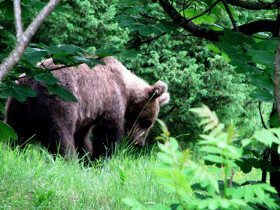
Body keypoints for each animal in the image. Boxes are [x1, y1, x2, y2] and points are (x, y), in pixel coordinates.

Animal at [4, 55, 171, 159]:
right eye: (147, 122)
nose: (139, 143)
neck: (127, 88)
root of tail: (33, 83)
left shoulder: (88, 111)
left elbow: (82, 136)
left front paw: (87, 156)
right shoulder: (110, 99)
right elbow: (108, 133)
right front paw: (100, 158)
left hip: (18, 102)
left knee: (14, 132)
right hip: (60, 100)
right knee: (61, 135)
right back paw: (69, 161)